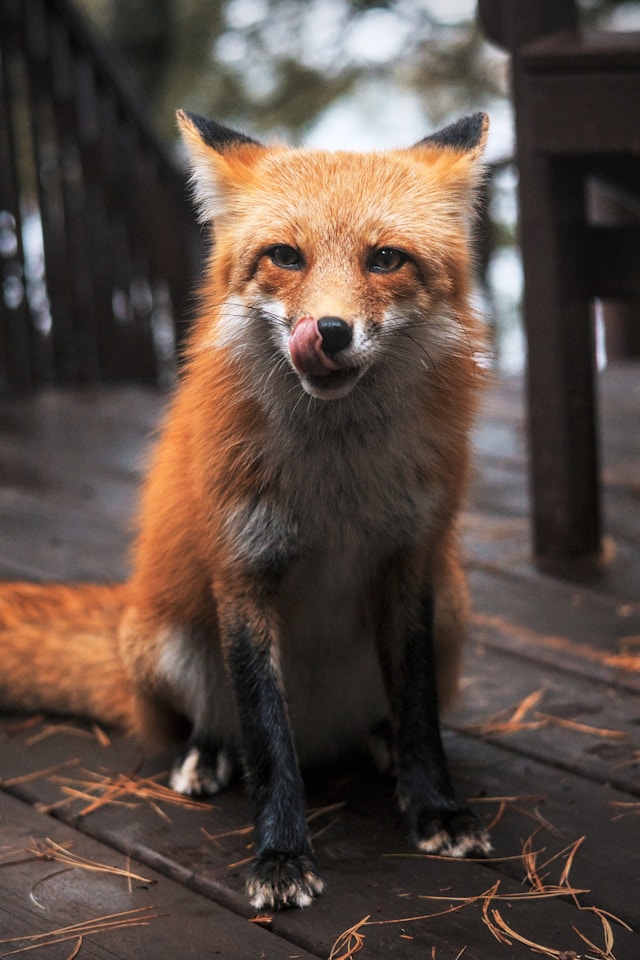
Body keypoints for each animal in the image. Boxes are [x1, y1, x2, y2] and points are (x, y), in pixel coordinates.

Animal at [1, 109, 490, 912]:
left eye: (385, 259)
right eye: (285, 256)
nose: (328, 331)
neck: (336, 485)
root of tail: (324, 728)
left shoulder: (410, 562)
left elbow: (420, 712)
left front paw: (435, 811)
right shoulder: (243, 570)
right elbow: (266, 738)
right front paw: (281, 855)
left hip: (452, 606)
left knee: (387, 714)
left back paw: (379, 740)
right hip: (166, 640)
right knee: (215, 725)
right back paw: (204, 756)